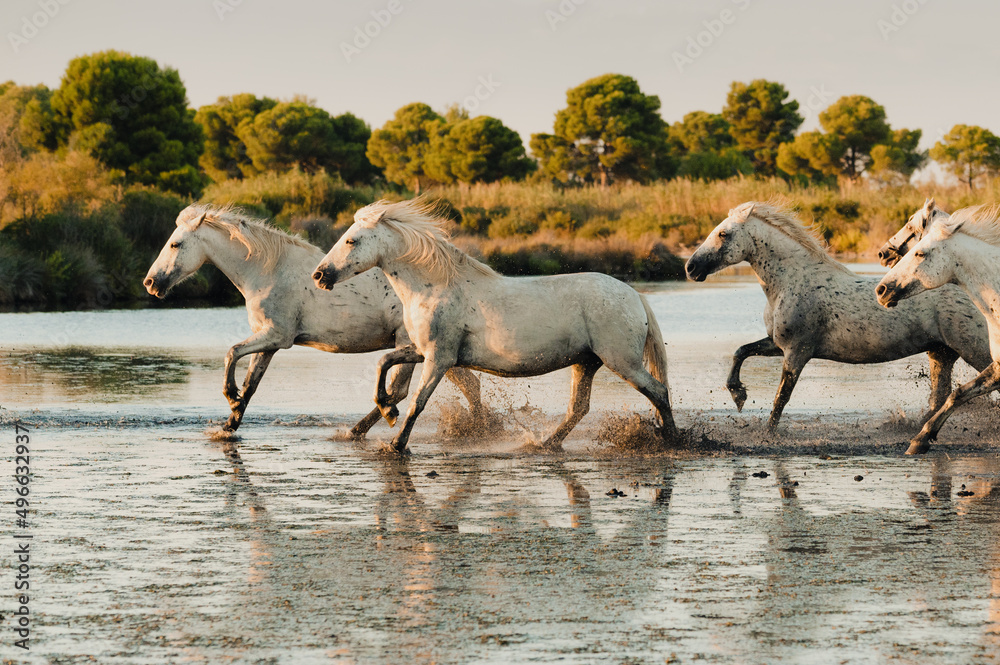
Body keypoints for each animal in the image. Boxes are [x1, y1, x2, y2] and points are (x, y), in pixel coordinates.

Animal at [143, 204, 483, 436]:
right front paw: (229, 425)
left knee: (401, 391)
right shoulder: (268, 343)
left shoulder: (277, 336)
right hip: (433, 351)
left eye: (175, 244)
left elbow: (231, 353)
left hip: (414, 346)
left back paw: (358, 430)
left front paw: (230, 397)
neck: (267, 271)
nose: (150, 283)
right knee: (469, 385)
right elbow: (251, 384)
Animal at [310, 198, 678, 454]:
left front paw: (396, 444)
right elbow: (383, 362)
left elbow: (417, 401)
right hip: (587, 362)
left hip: (621, 362)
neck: (436, 287)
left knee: (658, 391)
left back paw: (674, 439)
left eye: (351, 241)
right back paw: (543, 444)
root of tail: (634, 295)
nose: (319, 275)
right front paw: (387, 410)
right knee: (579, 409)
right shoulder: (423, 351)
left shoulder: (439, 359)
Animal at [685, 201, 992, 432]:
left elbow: (780, 398)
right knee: (940, 398)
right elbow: (741, 351)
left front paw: (767, 434)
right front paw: (738, 395)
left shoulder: (797, 352)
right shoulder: (777, 344)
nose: (691, 268)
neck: (790, 282)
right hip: (941, 354)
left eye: (723, 234)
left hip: (975, 350)